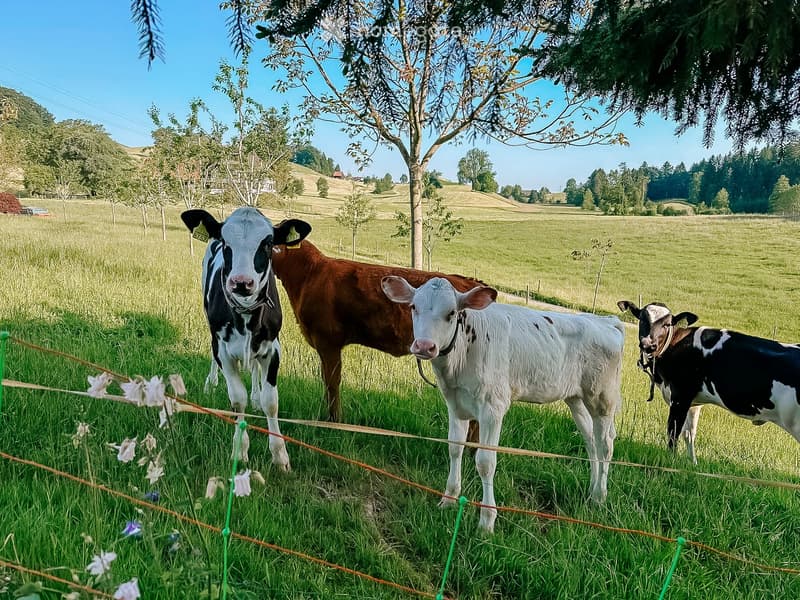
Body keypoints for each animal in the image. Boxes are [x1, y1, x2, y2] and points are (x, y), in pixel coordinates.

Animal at [181, 207, 311, 470]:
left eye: (268, 243)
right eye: (225, 242)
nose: (241, 282)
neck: (246, 315)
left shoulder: (273, 348)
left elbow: (271, 401)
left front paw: (280, 455)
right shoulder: (222, 349)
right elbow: (237, 399)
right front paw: (240, 450)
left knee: (254, 371)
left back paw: (255, 397)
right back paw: (211, 383)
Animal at [383, 276, 625, 532]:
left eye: (452, 312)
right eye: (413, 307)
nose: (423, 346)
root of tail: (606, 321)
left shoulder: (493, 407)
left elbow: (485, 462)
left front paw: (486, 521)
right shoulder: (455, 404)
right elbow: (454, 448)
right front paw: (448, 499)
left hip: (602, 397)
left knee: (605, 444)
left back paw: (599, 496)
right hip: (576, 398)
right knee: (591, 441)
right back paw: (591, 490)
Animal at [618, 300, 800, 463]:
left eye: (667, 324)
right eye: (642, 319)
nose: (648, 344)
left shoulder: (680, 396)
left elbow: (673, 433)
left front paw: (670, 462)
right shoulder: (694, 402)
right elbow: (689, 434)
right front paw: (691, 464)